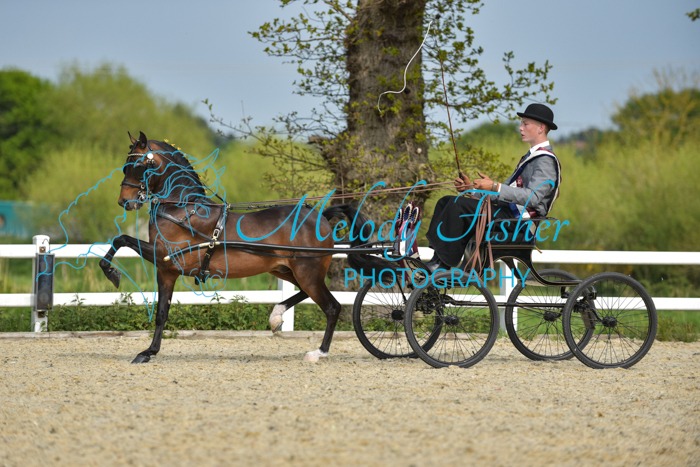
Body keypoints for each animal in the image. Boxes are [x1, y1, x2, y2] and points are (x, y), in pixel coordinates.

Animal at [99, 131, 370, 363]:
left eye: (138, 165)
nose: (124, 202)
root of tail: (320, 216)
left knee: (332, 307)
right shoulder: (167, 270)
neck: (183, 209)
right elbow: (162, 312)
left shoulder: (164, 258)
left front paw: (112, 273)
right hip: (287, 270)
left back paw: (318, 352)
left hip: (307, 272)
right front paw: (149, 351)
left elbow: (122, 240)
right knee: (307, 294)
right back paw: (276, 316)